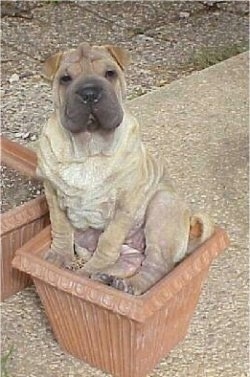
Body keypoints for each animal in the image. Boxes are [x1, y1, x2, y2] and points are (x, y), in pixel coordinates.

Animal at [36, 42, 214, 296]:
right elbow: (60, 228)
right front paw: (58, 258)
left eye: (110, 73)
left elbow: (108, 241)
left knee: (155, 266)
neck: (89, 150)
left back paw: (125, 284)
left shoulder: (125, 204)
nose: (89, 93)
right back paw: (105, 277)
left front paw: (84, 274)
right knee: (128, 261)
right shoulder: (52, 192)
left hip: (162, 208)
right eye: (65, 79)